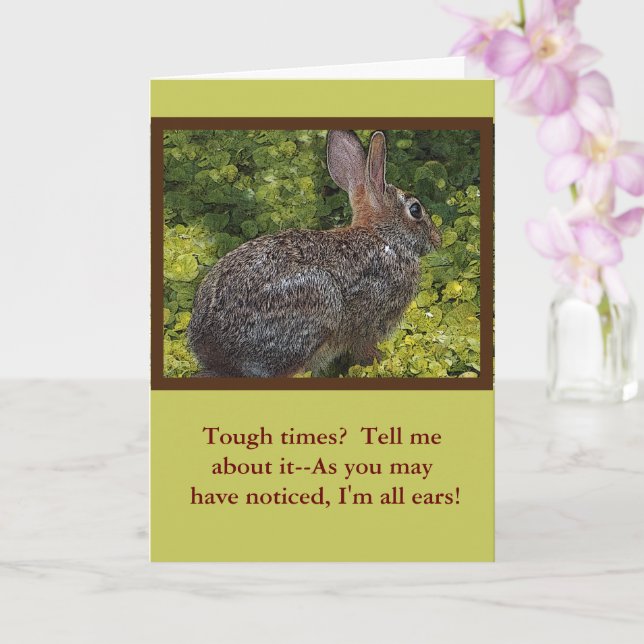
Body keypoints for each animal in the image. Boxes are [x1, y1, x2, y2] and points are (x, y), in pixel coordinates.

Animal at [187, 130, 442, 377]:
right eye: (416, 210)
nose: (437, 239)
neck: (384, 237)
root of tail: (215, 348)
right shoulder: (370, 325)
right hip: (318, 306)